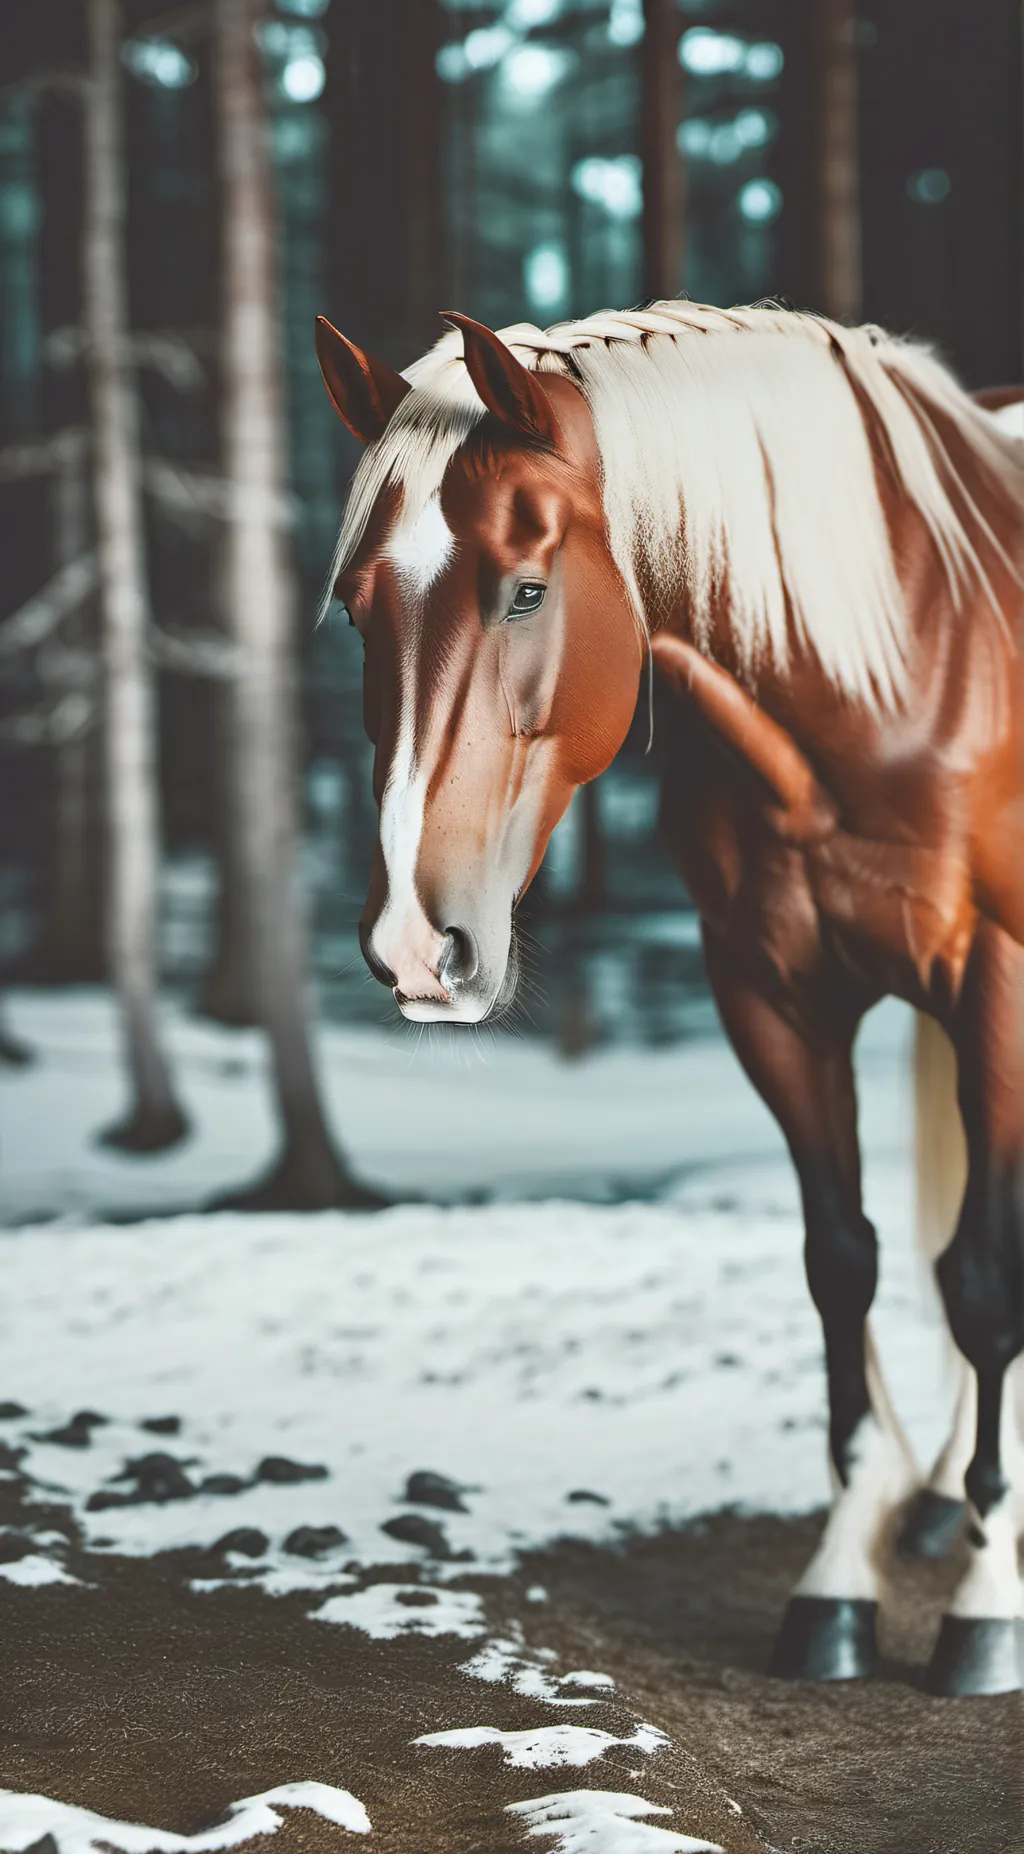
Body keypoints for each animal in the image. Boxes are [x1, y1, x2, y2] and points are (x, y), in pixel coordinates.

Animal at [314, 298, 1024, 1697]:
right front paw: (842, 1574)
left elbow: (982, 1278)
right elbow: (842, 1263)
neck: (906, 671)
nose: (417, 943)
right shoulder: (769, 996)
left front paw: (989, 1601)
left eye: (526, 589)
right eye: (363, 615)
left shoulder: (1001, 987)